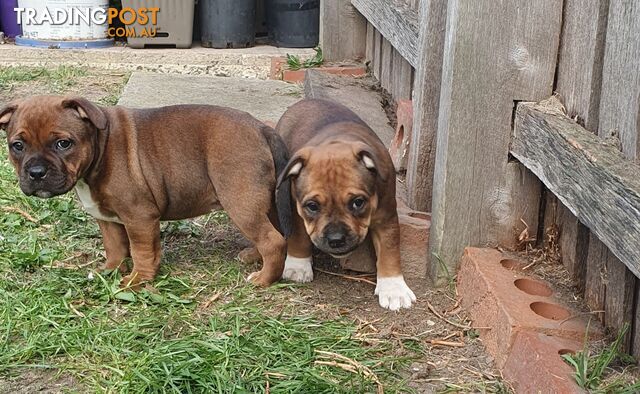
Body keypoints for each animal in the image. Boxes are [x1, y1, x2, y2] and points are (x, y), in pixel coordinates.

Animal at [1, 95, 292, 286]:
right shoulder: (108, 219)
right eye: (17, 146)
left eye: (63, 144)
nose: (36, 172)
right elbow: (115, 247)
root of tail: (261, 128)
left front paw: (137, 279)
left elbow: (142, 251)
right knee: (274, 232)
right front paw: (110, 271)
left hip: (240, 201)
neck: (100, 148)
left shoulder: (140, 218)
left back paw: (263, 279)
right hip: (264, 201)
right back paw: (255, 257)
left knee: (272, 239)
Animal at [276, 98, 416, 310]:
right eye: (312, 206)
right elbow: (299, 236)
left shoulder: (386, 217)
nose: (336, 239)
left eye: (358, 203)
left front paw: (393, 289)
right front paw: (298, 265)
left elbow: (389, 250)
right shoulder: (296, 206)